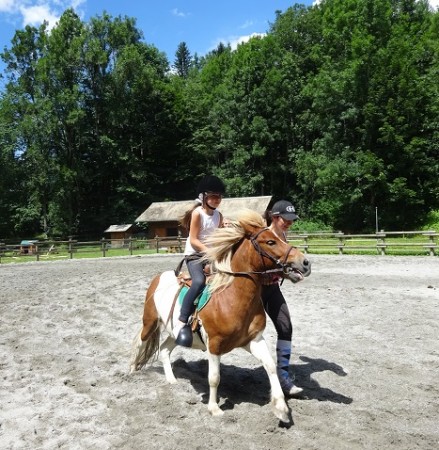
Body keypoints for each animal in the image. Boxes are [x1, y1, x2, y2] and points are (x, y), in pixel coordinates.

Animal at [131, 209, 312, 424]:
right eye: (270, 242)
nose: (305, 263)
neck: (231, 298)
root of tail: (159, 277)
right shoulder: (215, 345)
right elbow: (214, 378)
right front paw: (214, 408)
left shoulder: (254, 340)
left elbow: (270, 366)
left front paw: (281, 408)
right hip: (149, 322)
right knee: (140, 343)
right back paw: (131, 371)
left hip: (175, 334)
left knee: (165, 350)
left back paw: (172, 380)